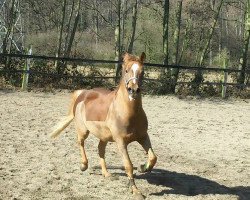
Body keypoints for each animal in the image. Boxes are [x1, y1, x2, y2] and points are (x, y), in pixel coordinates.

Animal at [49, 52, 157, 198]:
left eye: (142, 71)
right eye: (126, 70)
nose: (133, 90)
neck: (128, 113)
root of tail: (83, 93)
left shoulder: (143, 136)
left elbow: (153, 157)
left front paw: (143, 167)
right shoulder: (121, 142)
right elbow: (128, 165)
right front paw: (136, 191)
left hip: (104, 136)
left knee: (100, 149)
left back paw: (106, 173)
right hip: (83, 131)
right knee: (80, 143)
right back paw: (83, 165)